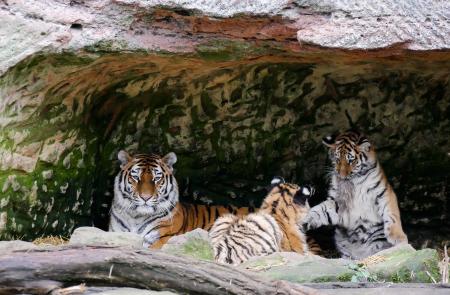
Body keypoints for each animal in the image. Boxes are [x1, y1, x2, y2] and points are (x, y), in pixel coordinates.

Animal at [302, 131, 408, 260]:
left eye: (351, 160)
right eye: (337, 159)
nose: (342, 175)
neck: (354, 181)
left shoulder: (384, 193)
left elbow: (392, 214)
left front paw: (399, 238)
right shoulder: (338, 202)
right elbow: (320, 210)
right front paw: (306, 219)